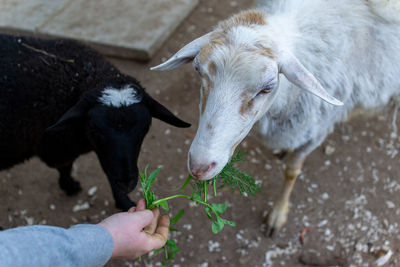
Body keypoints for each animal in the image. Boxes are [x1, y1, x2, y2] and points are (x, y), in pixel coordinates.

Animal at [0, 34, 191, 211]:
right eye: (96, 130)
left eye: (145, 128)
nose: (127, 184)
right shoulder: (59, 146)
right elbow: (66, 167)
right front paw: (69, 186)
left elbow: (107, 170)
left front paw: (123, 201)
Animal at [152, 0, 400, 236]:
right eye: (197, 69)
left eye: (268, 87)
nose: (199, 166)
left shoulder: (315, 131)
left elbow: (291, 172)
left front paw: (278, 214)